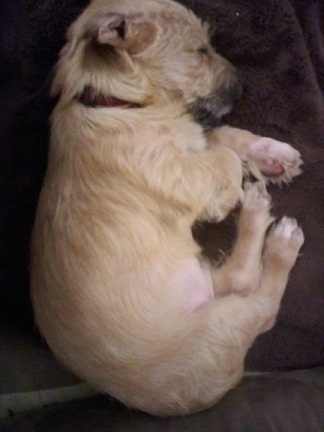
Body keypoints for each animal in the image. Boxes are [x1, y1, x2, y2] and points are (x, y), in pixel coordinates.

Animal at [30, 0, 304, 418]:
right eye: (201, 51)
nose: (244, 83)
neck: (116, 103)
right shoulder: (181, 171)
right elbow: (223, 154)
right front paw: (236, 189)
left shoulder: (190, 143)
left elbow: (223, 136)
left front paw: (271, 156)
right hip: (218, 327)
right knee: (259, 299)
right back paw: (275, 235)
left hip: (202, 289)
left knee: (237, 279)